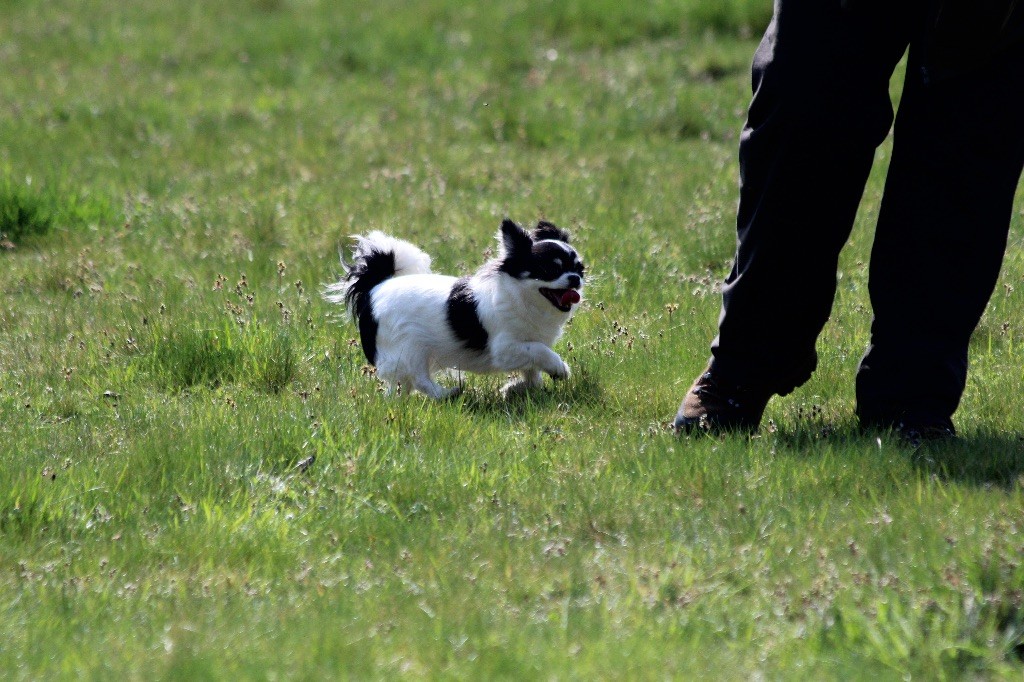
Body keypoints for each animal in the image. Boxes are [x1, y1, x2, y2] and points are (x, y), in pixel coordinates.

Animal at [327, 218, 585, 399]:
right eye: (550, 270)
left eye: (580, 269)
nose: (575, 279)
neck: (525, 299)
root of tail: (376, 286)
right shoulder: (505, 348)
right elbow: (540, 352)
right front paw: (560, 369)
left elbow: (534, 375)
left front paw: (514, 388)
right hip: (409, 347)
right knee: (419, 379)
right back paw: (447, 394)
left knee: (402, 386)